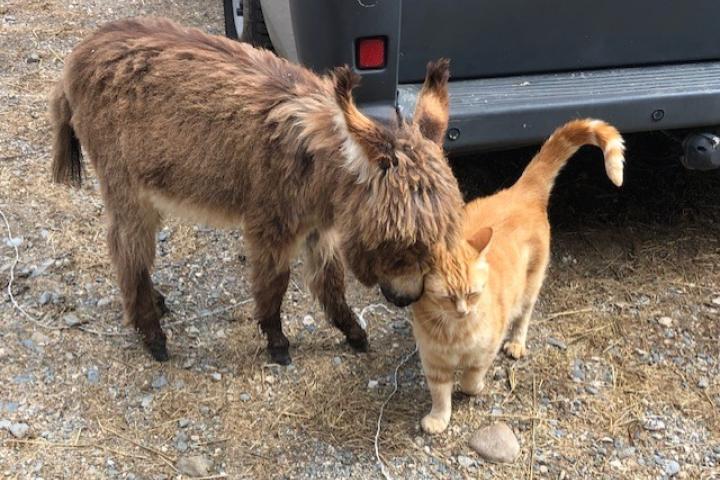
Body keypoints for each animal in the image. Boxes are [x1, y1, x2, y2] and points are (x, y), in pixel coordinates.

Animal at [410, 118, 624, 434]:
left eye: (473, 294)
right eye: (447, 298)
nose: (463, 311)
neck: (454, 332)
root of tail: (520, 191)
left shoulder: (484, 351)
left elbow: (471, 377)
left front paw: (474, 388)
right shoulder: (434, 363)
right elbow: (440, 394)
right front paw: (439, 418)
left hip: (530, 286)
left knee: (524, 316)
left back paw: (516, 343)